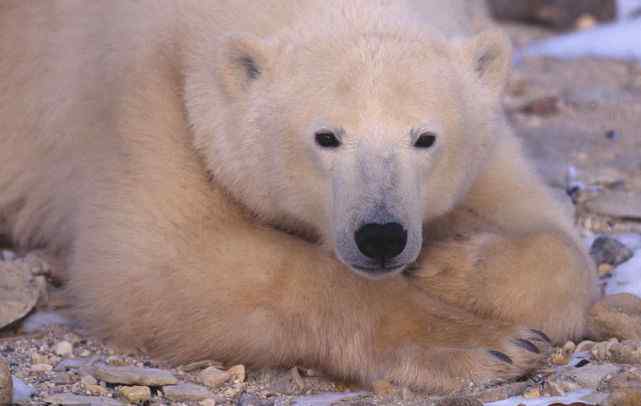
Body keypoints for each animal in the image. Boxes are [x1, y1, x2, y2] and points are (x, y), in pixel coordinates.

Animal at [0, 0, 596, 394]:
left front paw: (449, 267)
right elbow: (156, 260)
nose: (382, 236)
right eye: (326, 136)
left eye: (425, 137)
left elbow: (543, 230)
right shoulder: (144, 94)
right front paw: (489, 343)